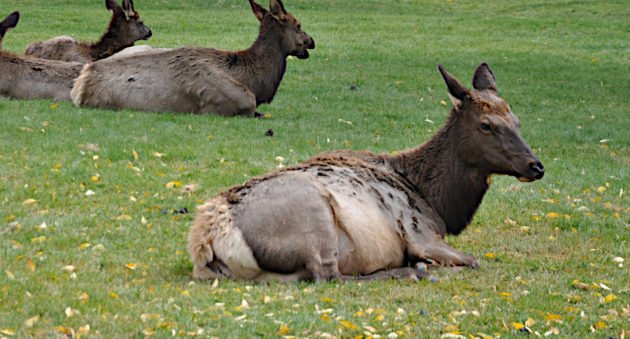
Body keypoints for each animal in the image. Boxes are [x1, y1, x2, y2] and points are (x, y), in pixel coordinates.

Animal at [189, 63, 548, 282]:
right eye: (486, 125)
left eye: (517, 120)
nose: (536, 166)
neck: (438, 203)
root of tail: (205, 238)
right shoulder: (421, 235)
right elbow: (473, 259)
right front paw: (425, 265)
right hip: (315, 218)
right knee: (329, 275)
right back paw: (412, 271)